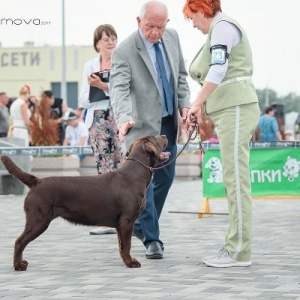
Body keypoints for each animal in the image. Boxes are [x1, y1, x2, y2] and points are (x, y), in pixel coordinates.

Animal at [1, 135, 168, 270]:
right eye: (156, 138)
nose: (165, 135)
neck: (134, 176)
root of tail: (37, 181)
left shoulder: (120, 225)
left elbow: (122, 246)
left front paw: (126, 261)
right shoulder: (126, 221)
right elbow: (127, 245)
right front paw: (130, 263)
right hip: (38, 220)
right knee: (19, 242)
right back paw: (18, 265)